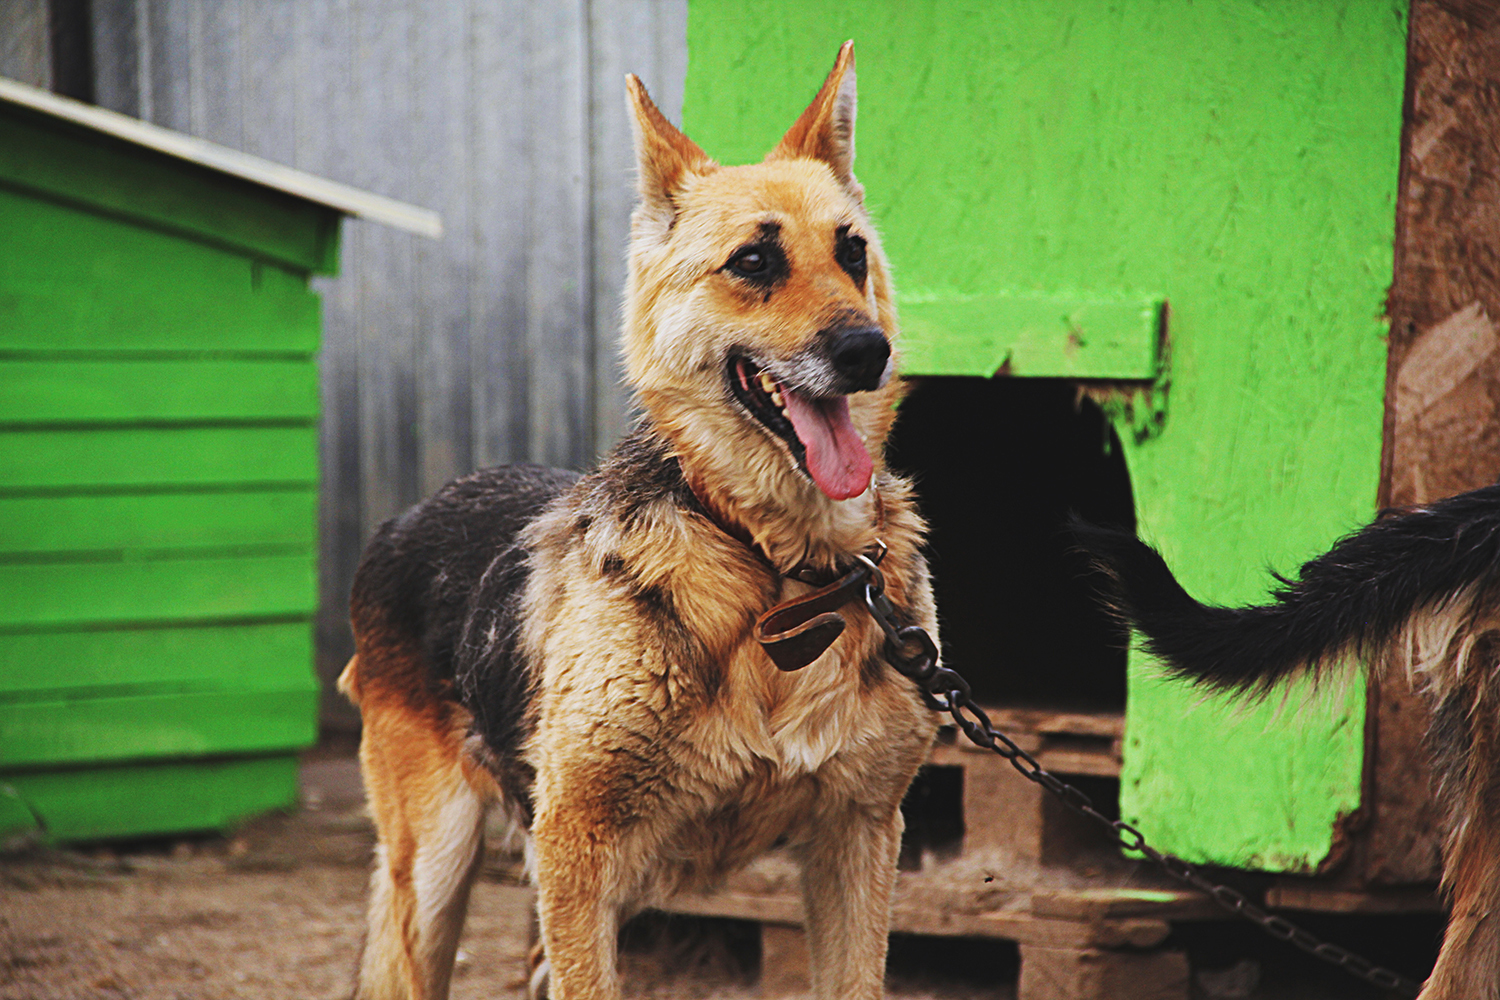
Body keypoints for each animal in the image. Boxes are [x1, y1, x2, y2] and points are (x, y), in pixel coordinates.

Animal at [340, 46, 936, 1000]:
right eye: (754, 261)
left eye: (852, 252)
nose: (865, 351)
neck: (776, 570)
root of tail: (407, 513)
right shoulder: (578, 855)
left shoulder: (858, 837)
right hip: (434, 873)